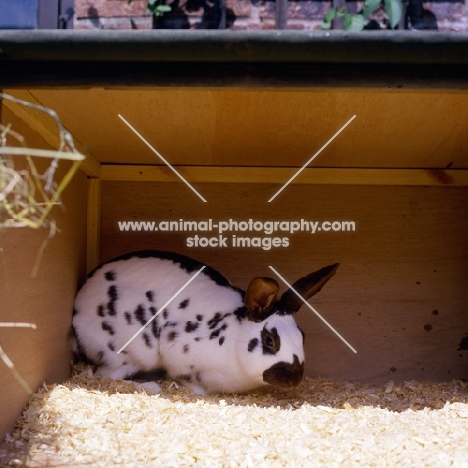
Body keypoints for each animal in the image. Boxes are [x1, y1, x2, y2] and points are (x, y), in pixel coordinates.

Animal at [69, 250, 338, 394]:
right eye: (270, 340)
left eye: (302, 335)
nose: (294, 380)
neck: (233, 336)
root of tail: (77, 313)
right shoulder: (176, 350)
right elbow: (188, 380)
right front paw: (199, 392)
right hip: (130, 353)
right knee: (106, 375)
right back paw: (152, 387)